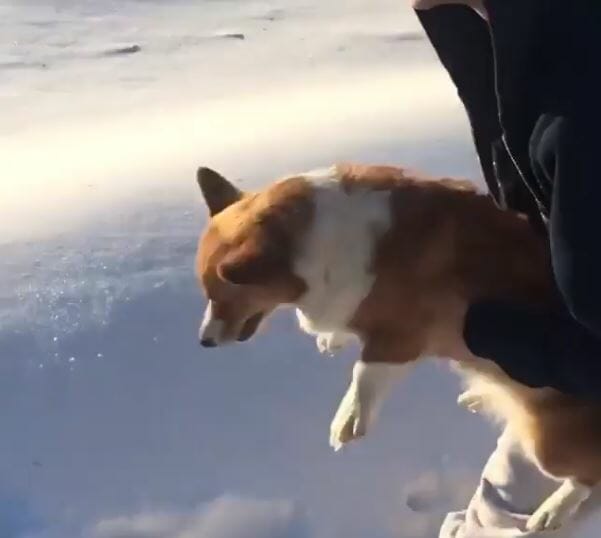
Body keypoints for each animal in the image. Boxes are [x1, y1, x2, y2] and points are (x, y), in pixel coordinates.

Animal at [193, 161, 600, 528]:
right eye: (207, 294)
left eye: (223, 297)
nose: (203, 341)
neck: (319, 244)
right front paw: (331, 338)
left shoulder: (404, 334)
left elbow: (365, 371)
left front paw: (349, 419)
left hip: (548, 445)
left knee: (588, 476)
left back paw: (553, 510)